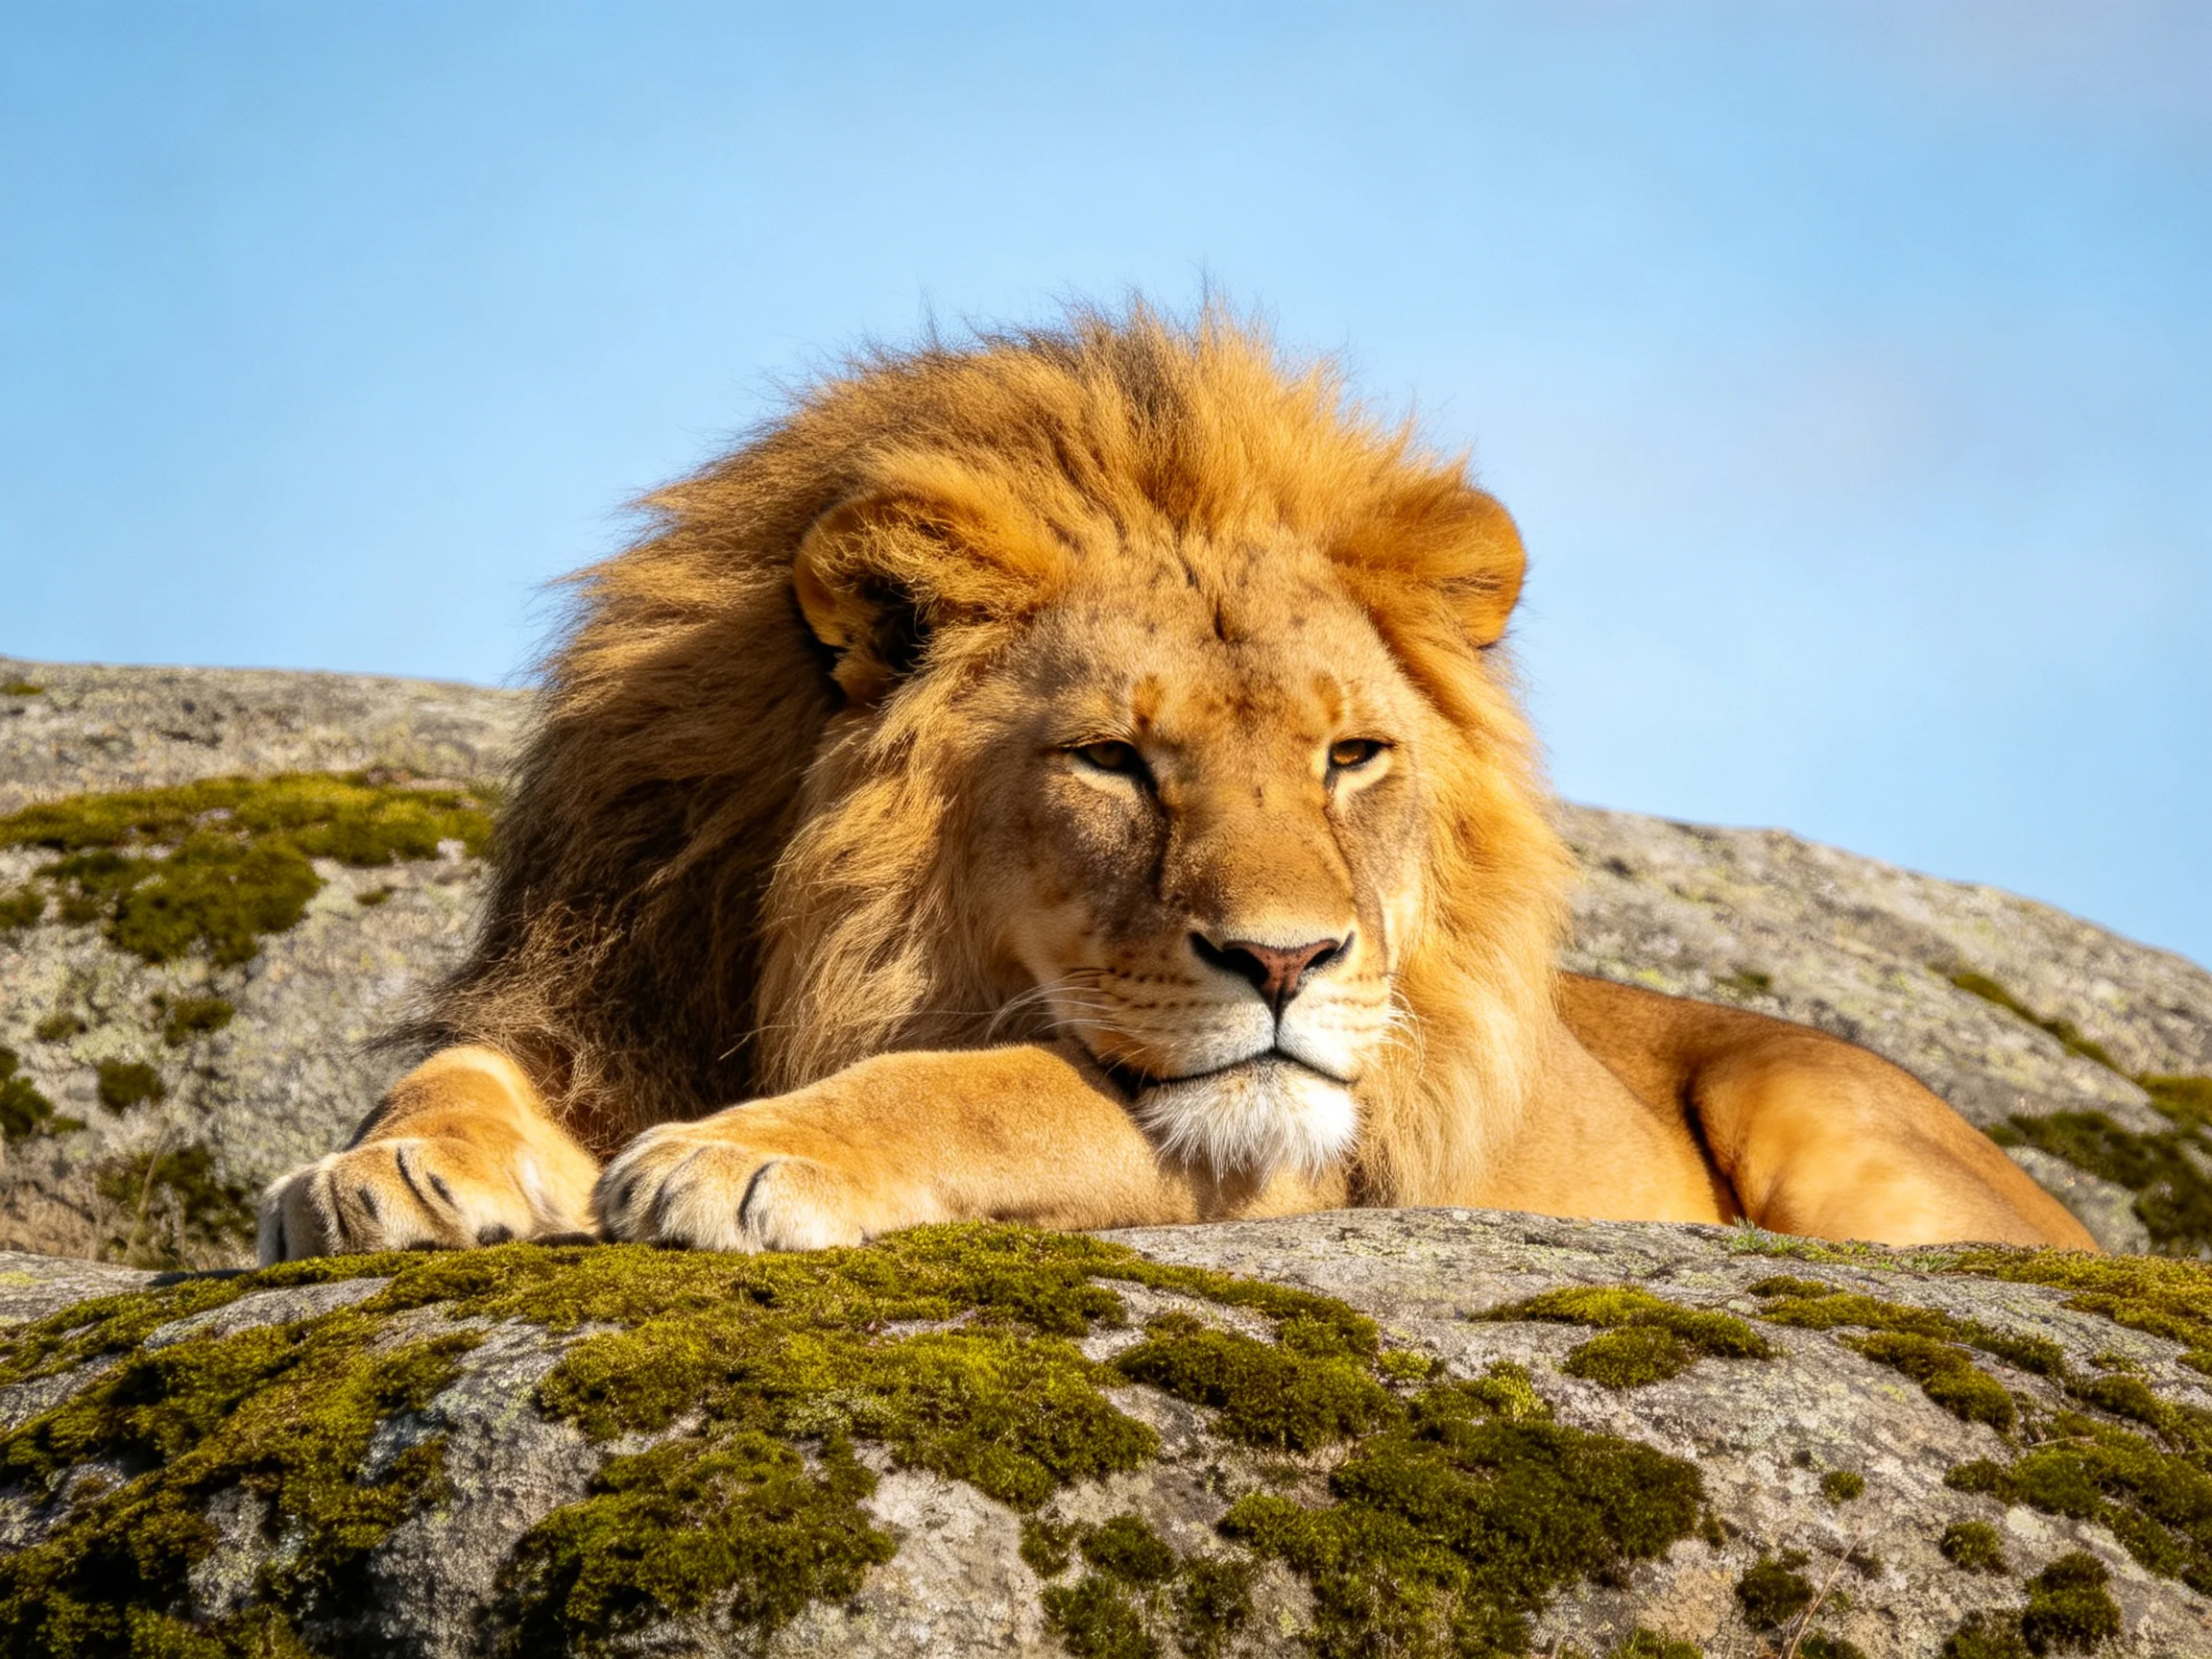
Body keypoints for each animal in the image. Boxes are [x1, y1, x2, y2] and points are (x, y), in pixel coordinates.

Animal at [260, 306, 2093, 1262]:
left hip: (1830, 1123)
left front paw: (741, 1157)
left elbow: (996, 1085)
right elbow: (458, 1067)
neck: (780, 925)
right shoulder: (612, 983)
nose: (1287, 962)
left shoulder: (1293, 1160)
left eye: (1349, 755)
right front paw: (380, 1171)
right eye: (1113, 760)